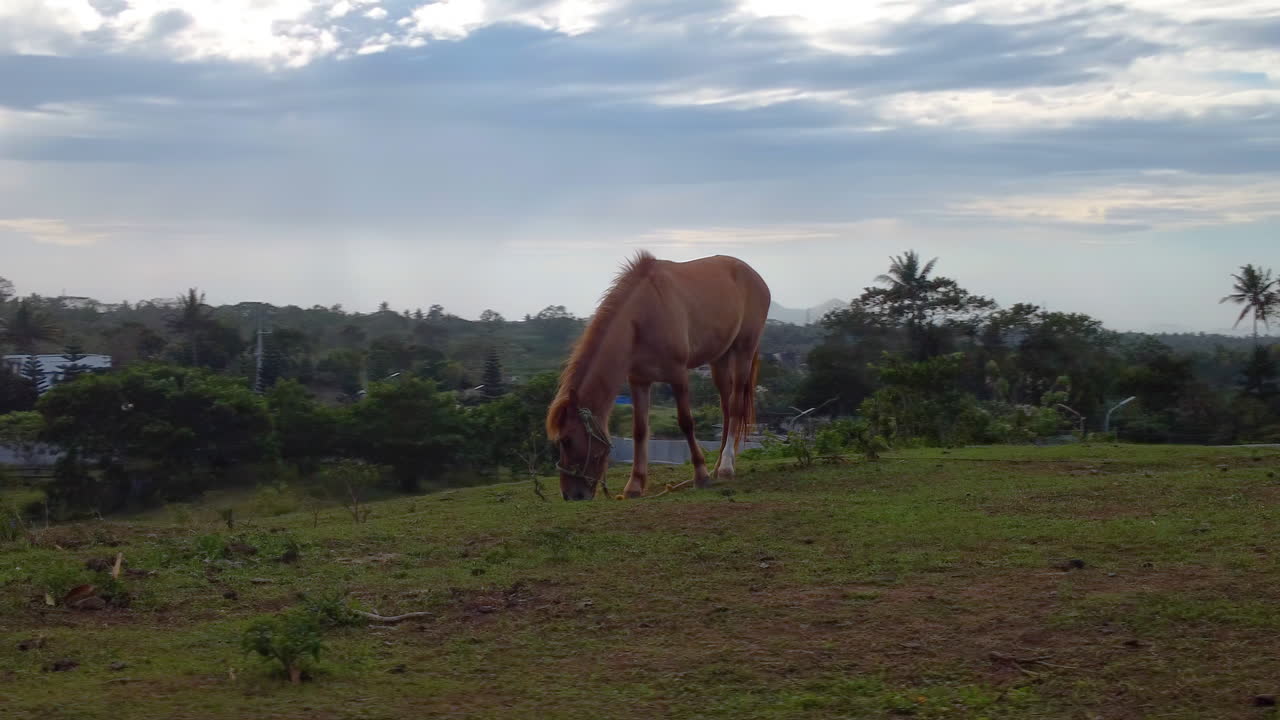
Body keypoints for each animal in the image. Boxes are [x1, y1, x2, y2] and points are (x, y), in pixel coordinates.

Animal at [545, 250, 771, 501]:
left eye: (567, 440)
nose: (571, 494)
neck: (643, 316)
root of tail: (754, 276)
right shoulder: (639, 381)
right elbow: (640, 430)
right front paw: (634, 485)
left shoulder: (678, 375)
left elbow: (686, 423)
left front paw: (701, 475)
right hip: (719, 358)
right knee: (726, 408)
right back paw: (720, 464)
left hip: (744, 351)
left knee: (735, 406)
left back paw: (726, 467)